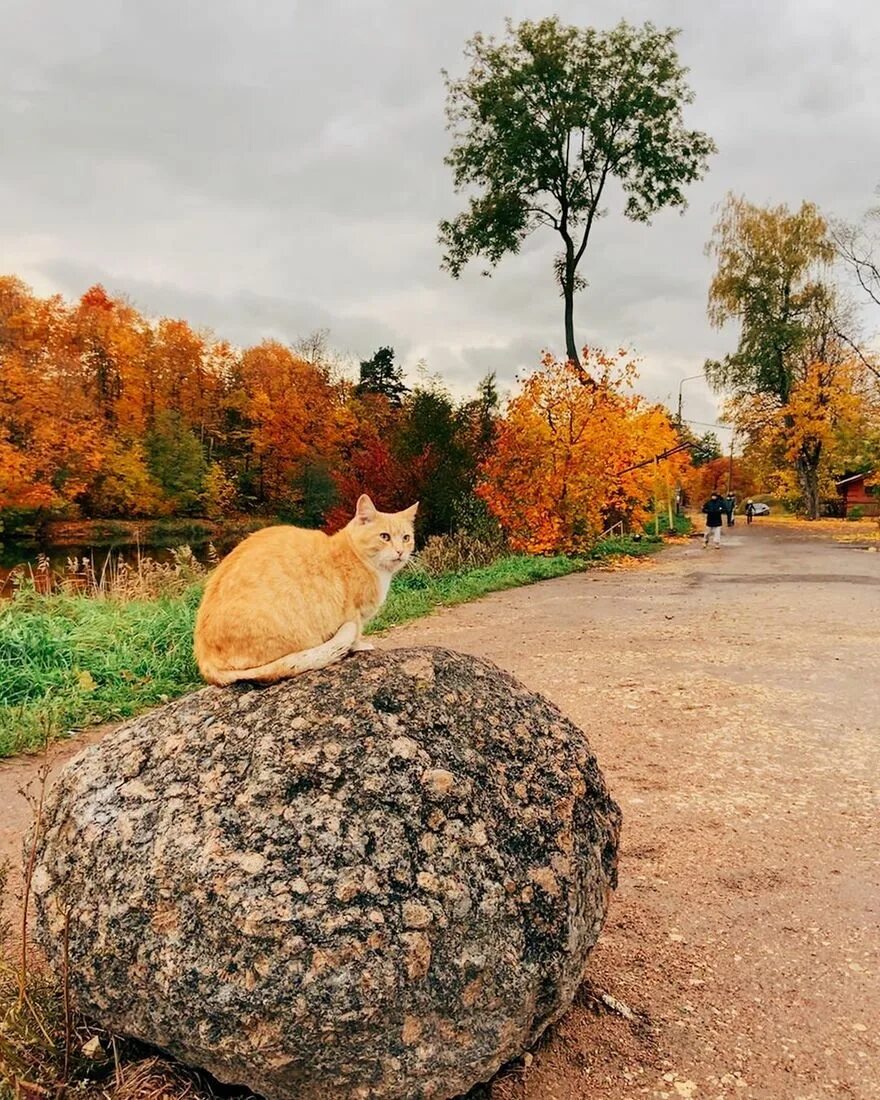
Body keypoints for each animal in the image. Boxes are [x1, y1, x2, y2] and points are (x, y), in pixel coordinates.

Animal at [194, 499, 420, 686]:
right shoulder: (352, 612)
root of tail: (205, 661)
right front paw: (360, 646)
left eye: (406, 537)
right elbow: (356, 634)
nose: (401, 551)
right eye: (385, 537)